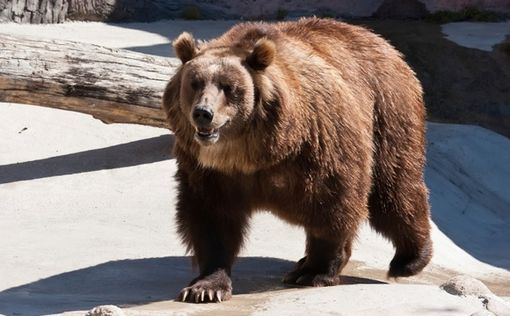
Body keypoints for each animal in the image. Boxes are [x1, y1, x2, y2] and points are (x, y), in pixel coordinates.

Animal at [162, 17, 430, 304]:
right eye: (195, 83)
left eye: (229, 87)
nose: (203, 113)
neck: (250, 153)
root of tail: (383, 43)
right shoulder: (209, 171)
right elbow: (212, 217)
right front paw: (205, 287)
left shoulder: (319, 147)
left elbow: (332, 205)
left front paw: (314, 272)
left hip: (387, 113)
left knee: (394, 191)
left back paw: (409, 259)